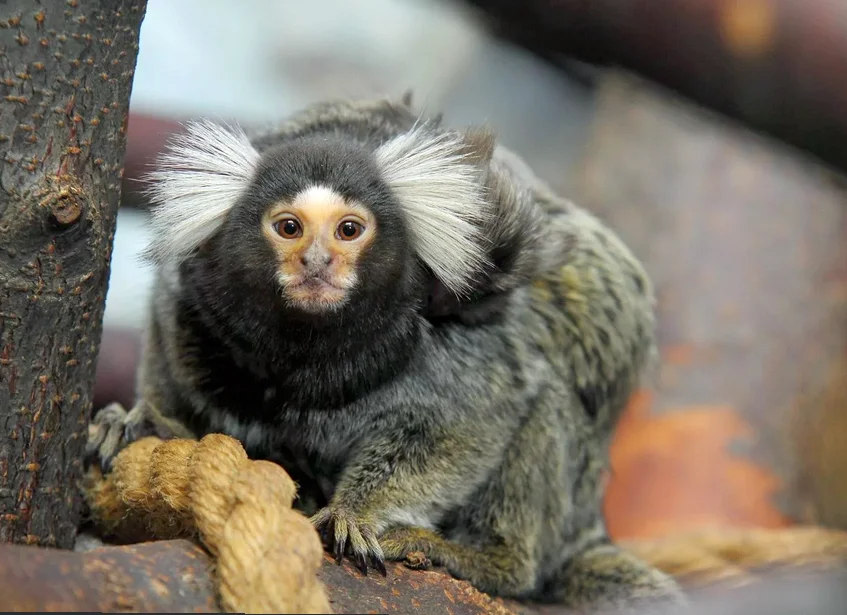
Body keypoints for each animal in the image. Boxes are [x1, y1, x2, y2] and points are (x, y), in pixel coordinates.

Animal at [86, 94, 684, 612]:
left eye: (350, 230)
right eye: (288, 227)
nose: (318, 262)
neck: (311, 352)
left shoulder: (457, 345)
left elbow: (464, 425)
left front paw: (356, 512)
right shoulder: (194, 301)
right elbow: (172, 353)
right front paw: (153, 422)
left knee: (547, 406)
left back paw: (488, 559)